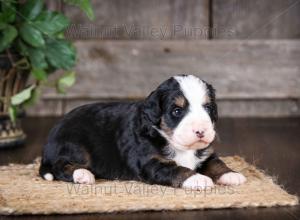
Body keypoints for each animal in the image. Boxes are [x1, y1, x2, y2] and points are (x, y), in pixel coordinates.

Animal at [39, 75, 246, 190]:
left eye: (208, 108)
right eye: (177, 111)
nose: (201, 131)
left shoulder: (205, 153)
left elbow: (216, 163)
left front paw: (231, 174)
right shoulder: (150, 162)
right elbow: (177, 169)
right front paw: (197, 179)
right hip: (75, 144)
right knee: (59, 166)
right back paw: (82, 175)